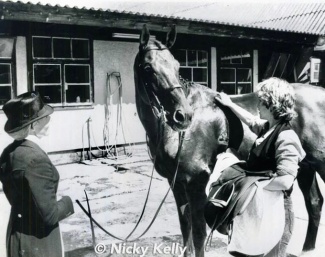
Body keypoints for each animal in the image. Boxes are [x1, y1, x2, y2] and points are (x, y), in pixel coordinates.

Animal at [133, 23, 322, 254]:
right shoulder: (176, 183)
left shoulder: (196, 183)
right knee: (314, 202)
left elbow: (198, 235)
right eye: (148, 68)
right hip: (304, 165)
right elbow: (186, 231)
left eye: (177, 66)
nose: (182, 116)